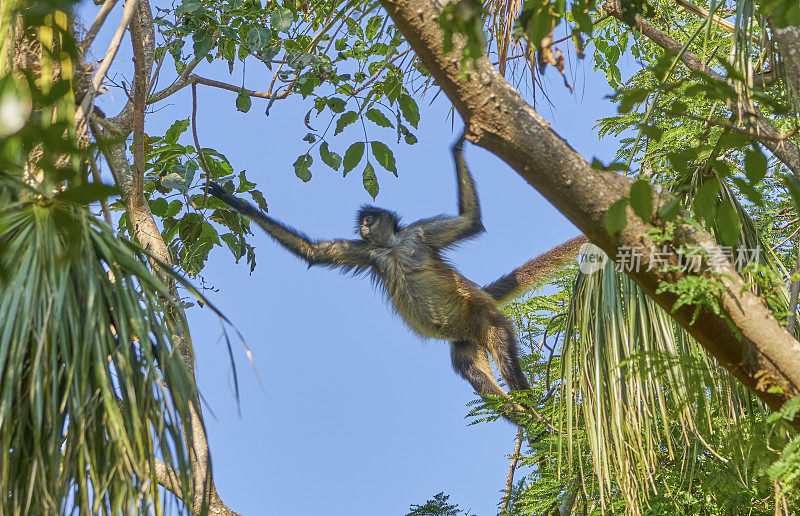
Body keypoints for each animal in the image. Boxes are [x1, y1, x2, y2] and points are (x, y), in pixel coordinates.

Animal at [209, 134, 584, 428]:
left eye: (370, 218)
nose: (362, 225)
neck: (390, 246)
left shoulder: (418, 234)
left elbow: (470, 220)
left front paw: (458, 144)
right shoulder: (368, 252)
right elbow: (314, 253)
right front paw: (234, 202)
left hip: (486, 317)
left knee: (503, 353)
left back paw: (536, 415)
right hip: (466, 342)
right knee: (474, 374)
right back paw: (529, 423)